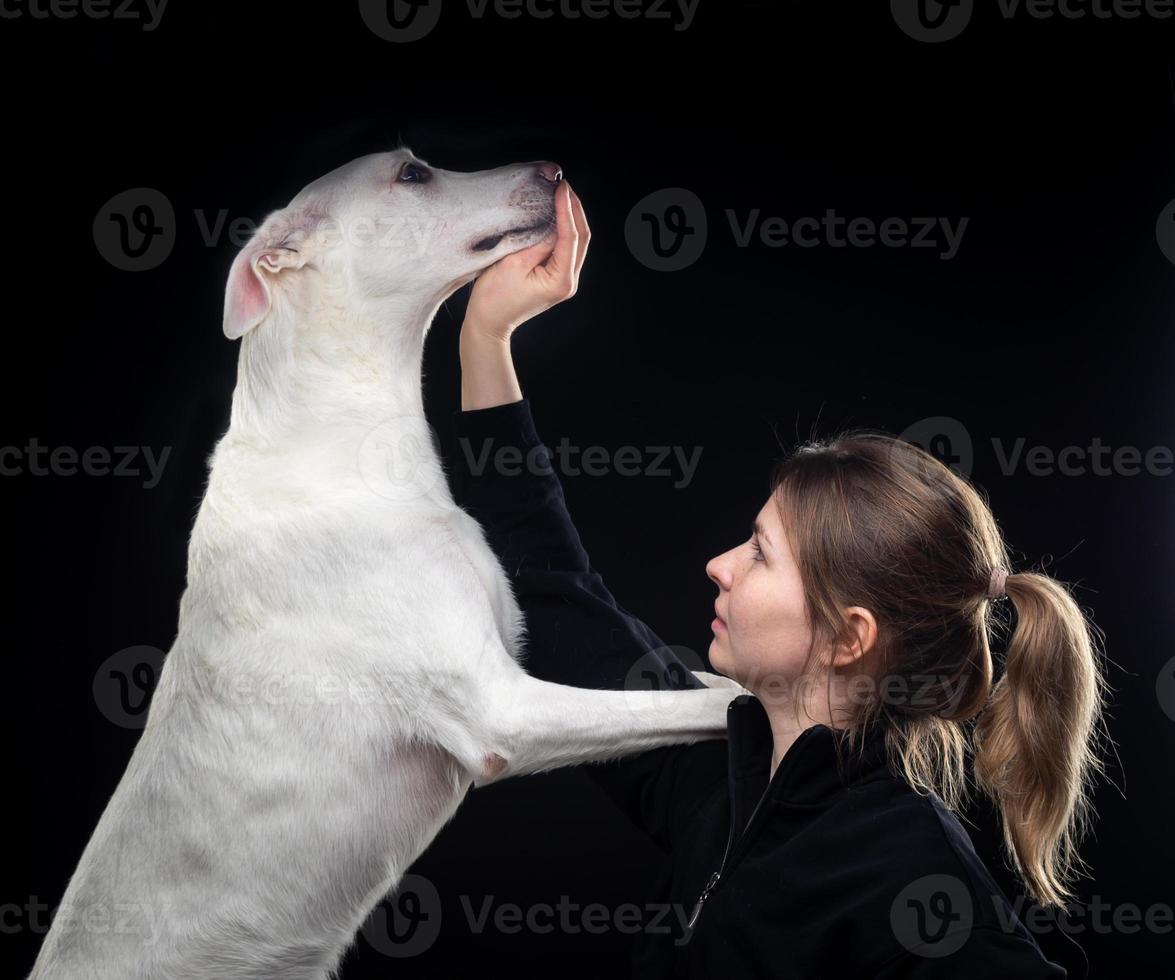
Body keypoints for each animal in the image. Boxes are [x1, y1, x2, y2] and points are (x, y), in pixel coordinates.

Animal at [27, 150, 737, 977]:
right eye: (412, 174)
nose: (553, 169)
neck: (342, 435)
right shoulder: (503, 708)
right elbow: (705, 706)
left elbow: (699, 687)